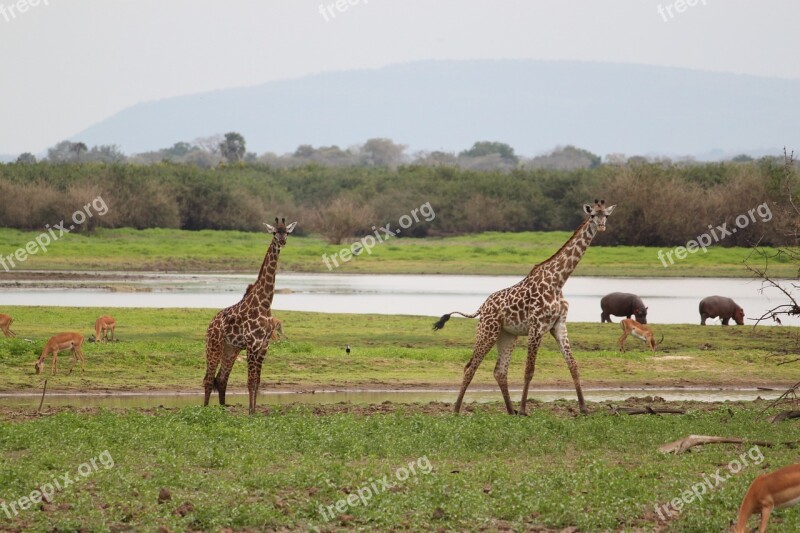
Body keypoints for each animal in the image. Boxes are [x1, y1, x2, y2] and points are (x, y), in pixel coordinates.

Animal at [203, 217, 296, 416]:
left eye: (287, 232)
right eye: (274, 232)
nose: (282, 241)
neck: (265, 304)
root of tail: (211, 323)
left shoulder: (264, 346)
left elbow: (257, 382)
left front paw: (254, 411)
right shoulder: (253, 345)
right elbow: (251, 381)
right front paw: (251, 413)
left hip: (231, 349)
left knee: (221, 379)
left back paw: (223, 410)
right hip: (213, 346)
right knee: (208, 378)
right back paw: (204, 410)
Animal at [434, 200, 616, 416]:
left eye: (606, 215)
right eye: (593, 215)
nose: (602, 226)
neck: (558, 282)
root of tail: (482, 307)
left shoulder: (559, 325)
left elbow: (573, 364)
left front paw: (584, 408)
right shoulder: (536, 327)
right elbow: (529, 370)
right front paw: (523, 409)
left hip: (507, 335)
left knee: (499, 371)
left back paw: (510, 410)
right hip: (488, 331)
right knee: (470, 366)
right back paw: (456, 409)